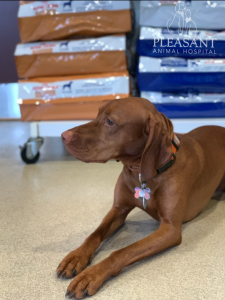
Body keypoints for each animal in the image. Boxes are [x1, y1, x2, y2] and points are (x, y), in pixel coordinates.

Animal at [58, 98, 225, 298]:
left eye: (110, 122)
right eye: (97, 114)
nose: (63, 136)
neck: (142, 172)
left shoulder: (170, 229)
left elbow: (122, 252)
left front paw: (91, 275)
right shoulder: (118, 209)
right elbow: (94, 234)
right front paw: (76, 257)